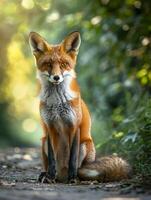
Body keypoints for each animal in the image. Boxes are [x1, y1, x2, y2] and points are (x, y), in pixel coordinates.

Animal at [28, 30, 132, 183]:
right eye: (48, 64)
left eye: (64, 64)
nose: (56, 77)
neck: (57, 103)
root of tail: (62, 176)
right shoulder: (49, 127)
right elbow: (52, 159)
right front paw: (50, 176)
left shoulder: (75, 125)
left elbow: (72, 157)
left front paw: (72, 178)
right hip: (44, 141)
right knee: (49, 164)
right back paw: (47, 175)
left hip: (85, 144)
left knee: (79, 168)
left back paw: (74, 176)